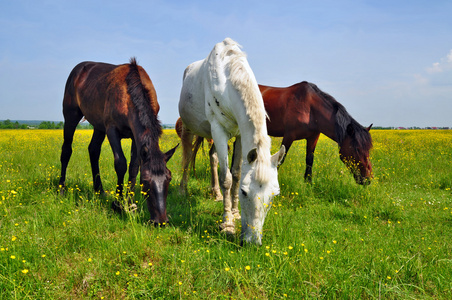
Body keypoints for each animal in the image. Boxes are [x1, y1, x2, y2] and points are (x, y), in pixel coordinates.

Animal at [59, 57, 178, 225]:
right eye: (145, 181)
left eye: (169, 178)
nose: (160, 222)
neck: (129, 94)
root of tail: (79, 69)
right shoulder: (112, 130)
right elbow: (120, 163)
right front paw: (118, 204)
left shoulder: (135, 136)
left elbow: (134, 166)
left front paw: (130, 203)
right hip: (71, 115)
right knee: (66, 150)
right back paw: (61, 189)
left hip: (98, 126)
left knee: (93, 150)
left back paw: (99, 191)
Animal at [178, 37, 284, 245]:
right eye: (245, 192)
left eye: (274, 195)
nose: (252, 242)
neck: (226, 81)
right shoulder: (218, 130)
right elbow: (226, 178)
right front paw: (227, 223)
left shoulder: (240, 136)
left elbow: (235, 173)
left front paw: (234, 213)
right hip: (189, 128)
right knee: (187, 157)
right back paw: (183, 190)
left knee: (213, 157)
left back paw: (216, 194)